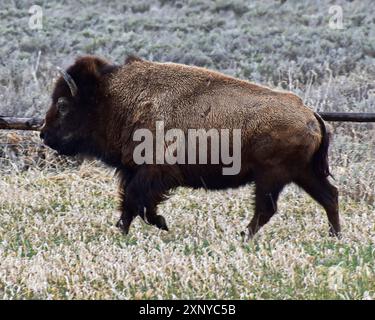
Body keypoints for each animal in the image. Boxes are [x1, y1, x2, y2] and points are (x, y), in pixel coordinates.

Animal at [40, 55, 340, 238]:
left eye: (63, 105)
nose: (44, 134)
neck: (113, 98)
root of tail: (310, 114)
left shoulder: (154, 172)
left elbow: (136, 201)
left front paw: (152, 226)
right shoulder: (135, 172)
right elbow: (132, 203)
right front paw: (133, 228)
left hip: (272, 176)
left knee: (268, 209)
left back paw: (243, 236)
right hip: (302, 174)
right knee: (329, 196)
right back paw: (335, 236)